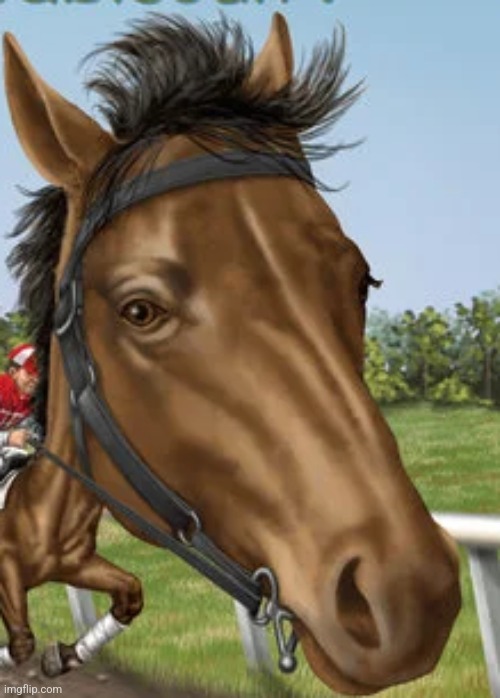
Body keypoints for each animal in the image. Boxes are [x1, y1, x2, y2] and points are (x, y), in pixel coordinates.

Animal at [1, 12, 461, 696]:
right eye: (141, 310)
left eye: (361, 281)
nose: (409, 596)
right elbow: (22, 634)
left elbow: (118, 599)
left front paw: (67, 652)